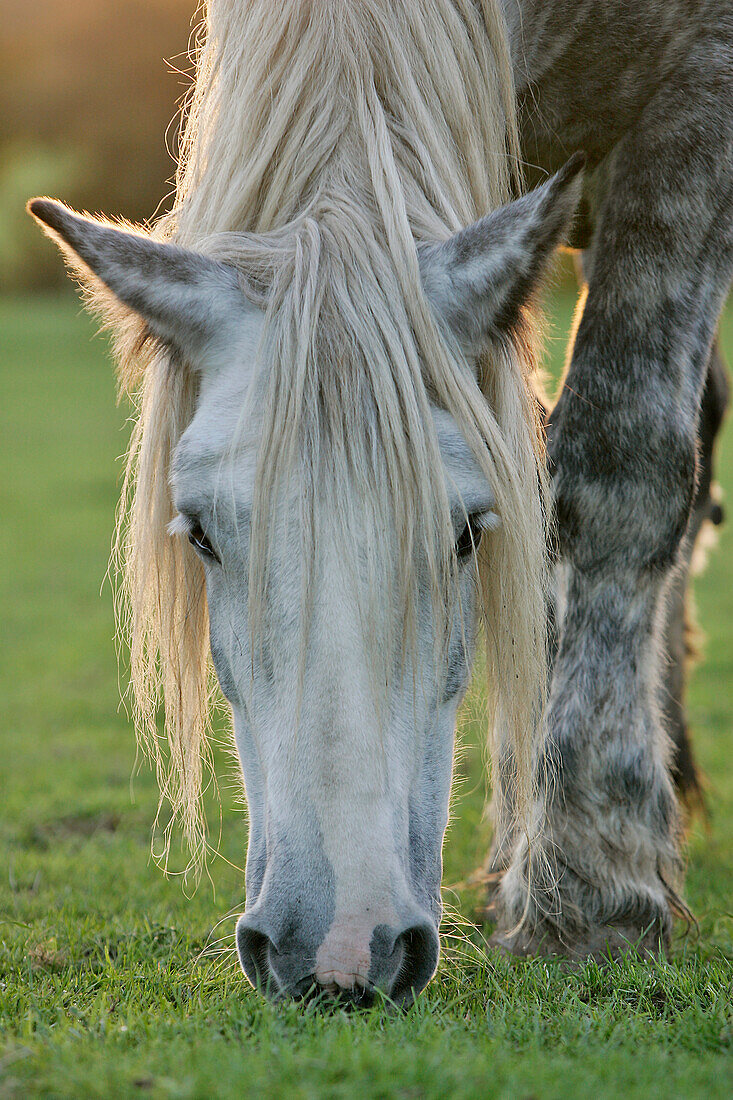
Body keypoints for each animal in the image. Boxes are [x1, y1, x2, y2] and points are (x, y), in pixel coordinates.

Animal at [28, 0, 726, 1003]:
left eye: (468, 534)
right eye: (199, 535)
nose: (339, 953)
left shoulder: (695, 106)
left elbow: (618, 461)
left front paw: (593, 889)